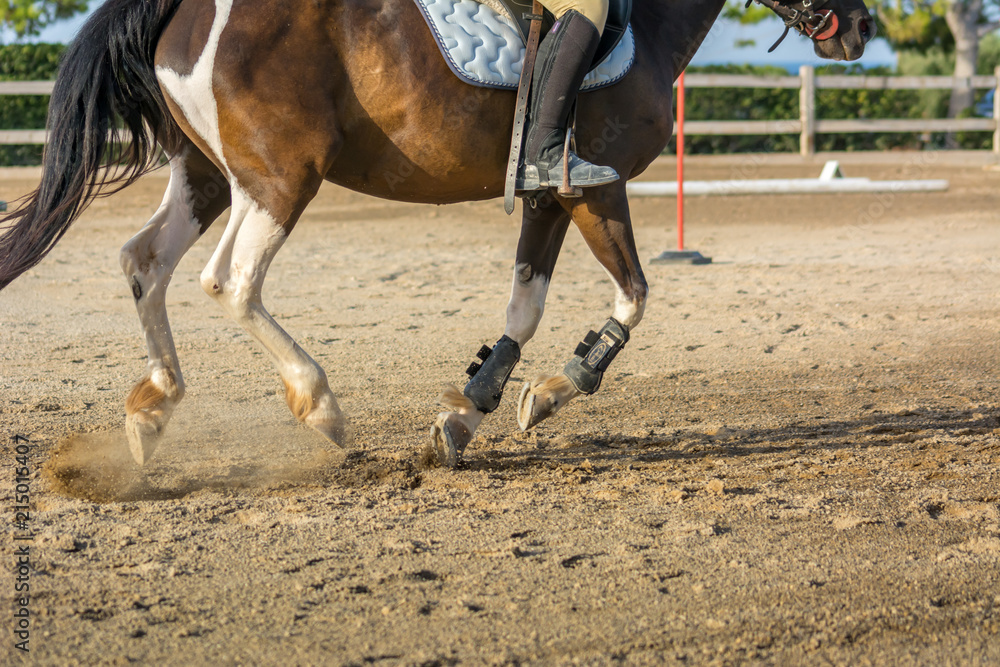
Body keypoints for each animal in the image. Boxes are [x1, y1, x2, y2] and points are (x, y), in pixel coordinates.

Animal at [0, 0, 874, 467]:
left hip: (209, 175)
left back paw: (153, 410)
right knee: (231, 280)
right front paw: (556, 388)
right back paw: (319, 405)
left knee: (144, 260)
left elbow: (524, 306)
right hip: (281, 176)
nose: (861, 27)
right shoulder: (595, 186)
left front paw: (472, 409)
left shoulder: (547, 198)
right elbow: (634, 294)